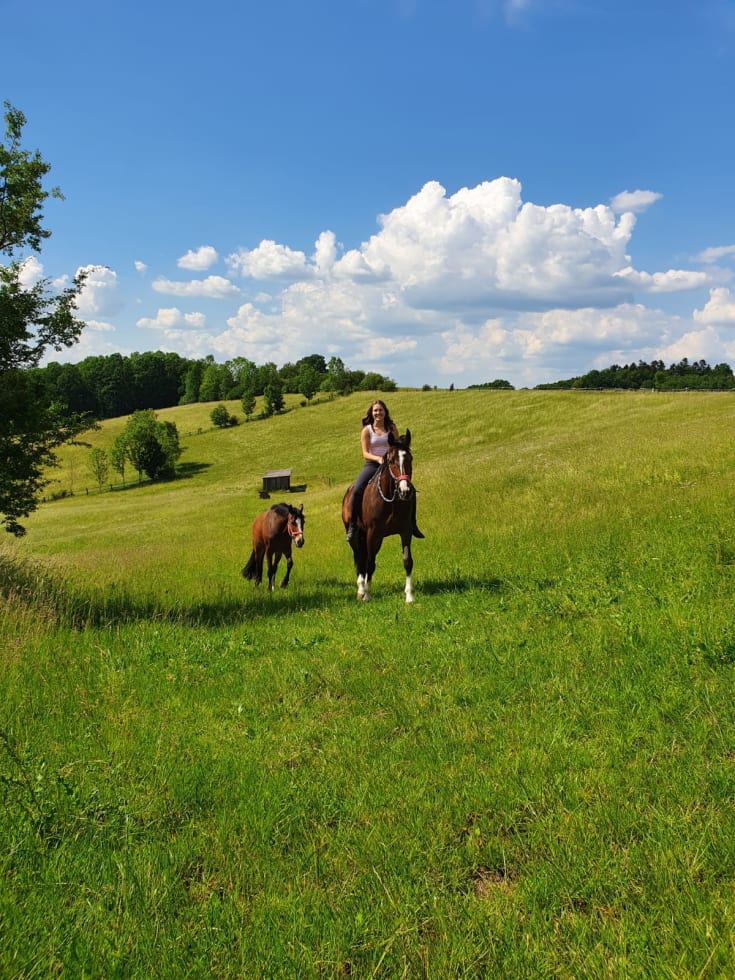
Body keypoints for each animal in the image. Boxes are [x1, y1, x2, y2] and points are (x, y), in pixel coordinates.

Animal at [340, 430, 420, 600]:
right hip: (357, 536)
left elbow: (407, 561)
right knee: (359, 559)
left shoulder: (406, 531)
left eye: (410, 458)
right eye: (391, 461)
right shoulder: (373, 533)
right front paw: (367, 595)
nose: (405, 491)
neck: (391, 501)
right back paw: (361, 590)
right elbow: (370, 564)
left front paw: (409, 596)